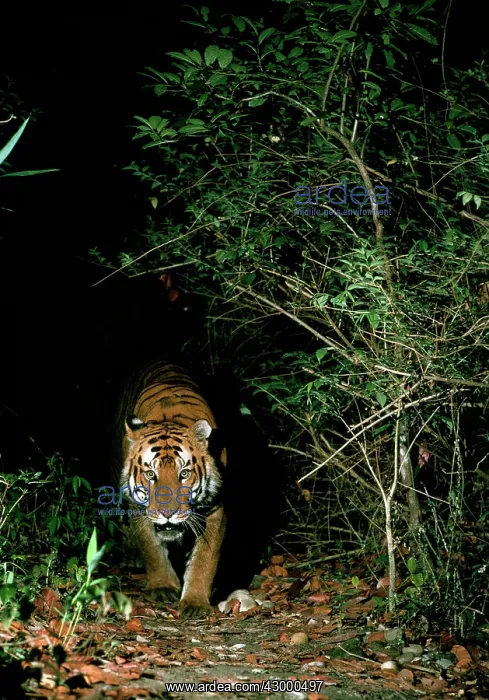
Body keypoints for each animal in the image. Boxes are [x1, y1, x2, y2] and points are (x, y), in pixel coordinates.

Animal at [114, 361, 226, 619]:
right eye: (150, 474)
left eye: (183, 474)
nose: (167, 514)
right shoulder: (138, 508)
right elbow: (152, 549)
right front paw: (163, 587)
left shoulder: (215, 508)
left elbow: (204, 559)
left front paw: (195, 602)